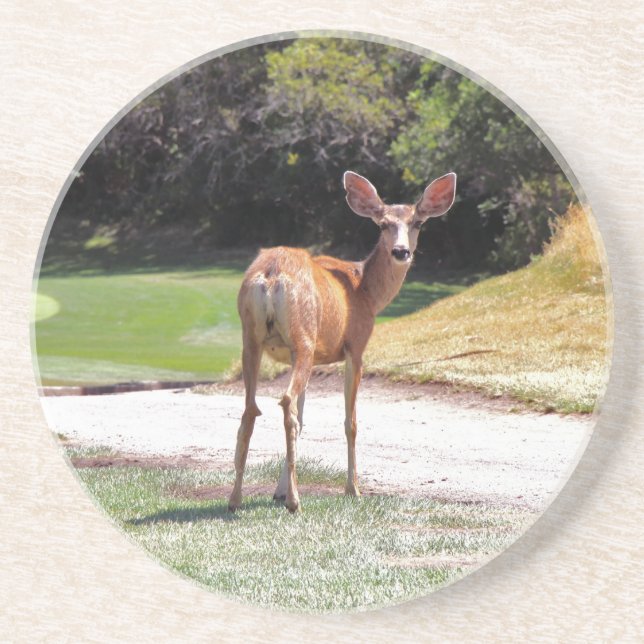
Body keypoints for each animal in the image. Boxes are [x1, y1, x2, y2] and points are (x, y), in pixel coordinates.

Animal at [228, 170, 457, 513]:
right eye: (383, 224)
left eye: (417, 223)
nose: (401, 252)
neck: (366, 292)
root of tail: (271, 275)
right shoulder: (356, 346)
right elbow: (351, 422)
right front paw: (353, 489)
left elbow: (305, 417)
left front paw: (278, 491)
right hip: (303, 337)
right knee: (285, 401)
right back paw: (295, 502)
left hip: (251, 339)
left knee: (251, 409)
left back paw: (235, 499)